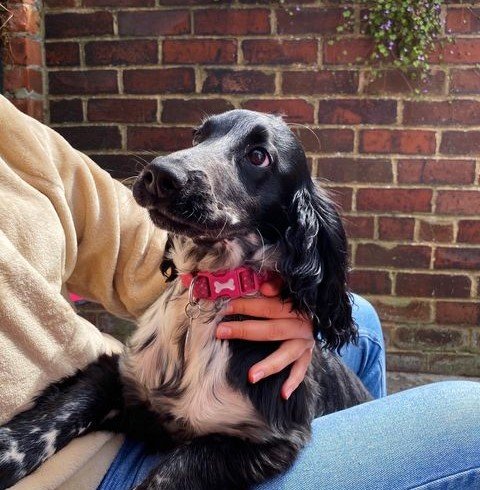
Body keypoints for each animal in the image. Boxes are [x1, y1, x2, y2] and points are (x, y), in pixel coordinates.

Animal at [0, 111, 372, 490]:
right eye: (198, 136)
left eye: (258, 156)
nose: (160, 174)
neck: (209, 292)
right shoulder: (120, 376)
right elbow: (62, 411)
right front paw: (5, 453)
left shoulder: (265, 439)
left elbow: (171, 471)